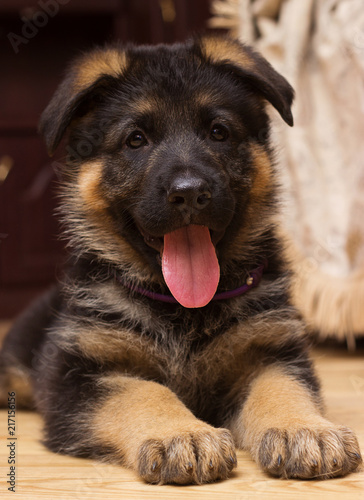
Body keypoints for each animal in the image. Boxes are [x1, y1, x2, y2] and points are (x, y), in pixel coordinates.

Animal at [1, 36, 362, 484]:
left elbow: (282, 387)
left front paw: (303, 429)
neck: (182, 309)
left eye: (218, 132)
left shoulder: (271, 353)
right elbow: (143, 391)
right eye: (135, 140)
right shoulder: (79, 376)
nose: (189, 193)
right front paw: (181, 434)